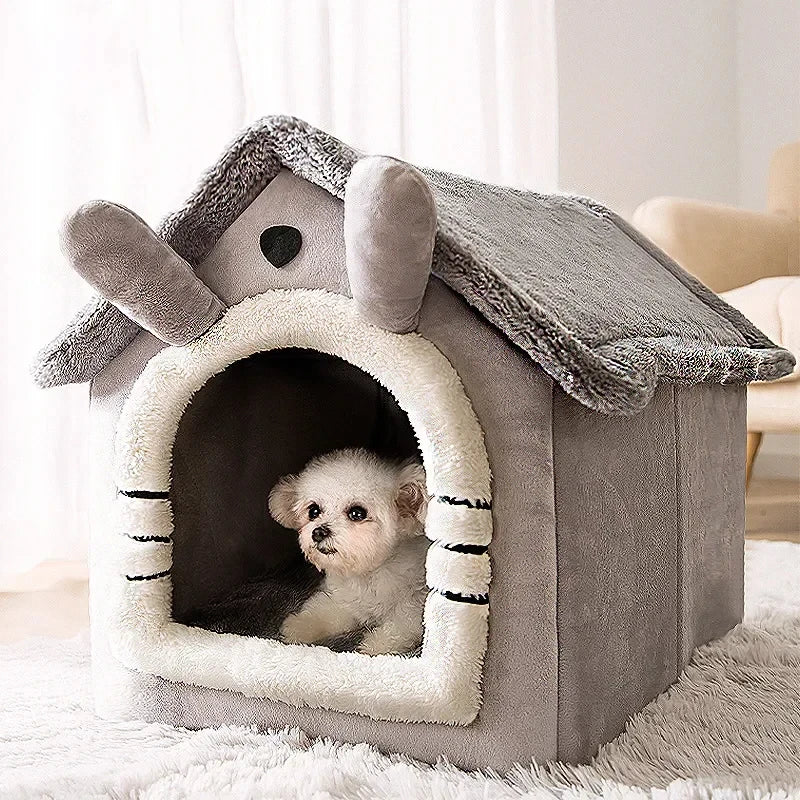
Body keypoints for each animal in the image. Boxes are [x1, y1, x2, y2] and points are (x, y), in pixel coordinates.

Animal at [268, 446, 432, 652]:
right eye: (313, 511)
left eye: (357, 513)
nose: (318, 532)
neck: (369, 574)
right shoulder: (345, 602)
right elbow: (324, 612)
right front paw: (300, 626)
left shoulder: (412, 608)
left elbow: (396, 629)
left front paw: (374, 647)